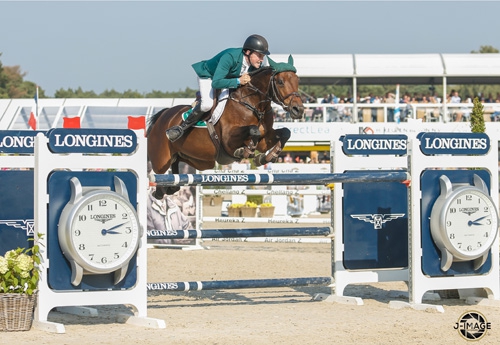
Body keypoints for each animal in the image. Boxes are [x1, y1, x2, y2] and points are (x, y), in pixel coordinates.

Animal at [146, 55, 304, 198]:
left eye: (297, 81)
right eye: (280, 81)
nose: (298, 110)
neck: (253, 105)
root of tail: (163, 115)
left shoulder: (264, 140)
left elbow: (285, 132)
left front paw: (267, 157)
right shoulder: (228, 140)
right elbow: (253, 131)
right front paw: (245, 152)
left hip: (197, 161)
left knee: (175, 175)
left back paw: (169, 189)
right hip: (161, 160)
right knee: (157, 177)